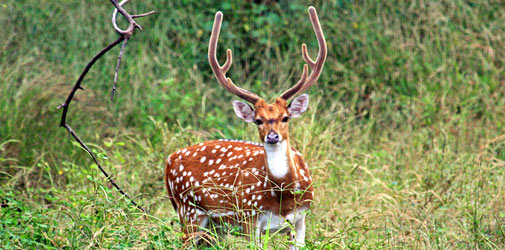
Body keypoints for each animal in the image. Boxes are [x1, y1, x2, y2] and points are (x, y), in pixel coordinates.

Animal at [163, 6, 324, 250]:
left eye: (286, 117)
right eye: (257, 120)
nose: (272, 136)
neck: (283, 198)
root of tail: (168, 161)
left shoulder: (301, 218)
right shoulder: (249, 216)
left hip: (212, 227)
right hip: (188, 211)